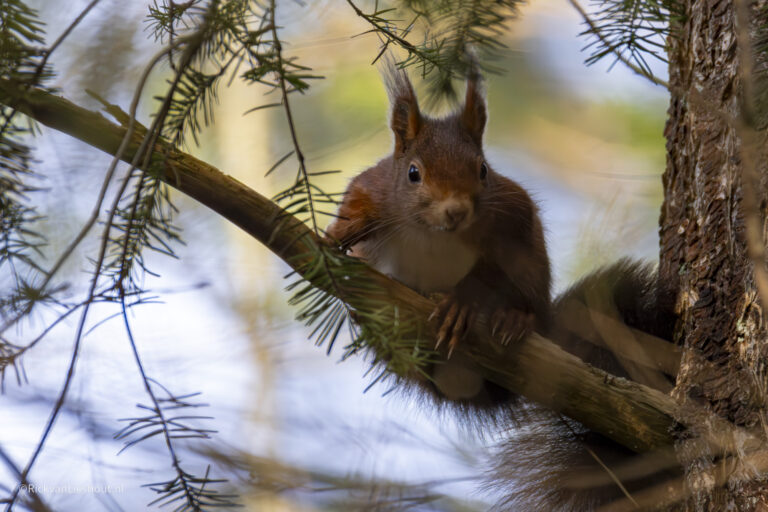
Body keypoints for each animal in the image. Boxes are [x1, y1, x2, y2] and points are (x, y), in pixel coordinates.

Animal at [326, 65, 679, 510]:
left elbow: (487, 275)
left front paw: (461, 305)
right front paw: (340, 234)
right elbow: (355, 206)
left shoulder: (512, 218)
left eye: (482, 170)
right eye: (412, 173)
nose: (455, 211)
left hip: (534, 279)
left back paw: (514, 321)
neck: (435, 234)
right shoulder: (373, 189)